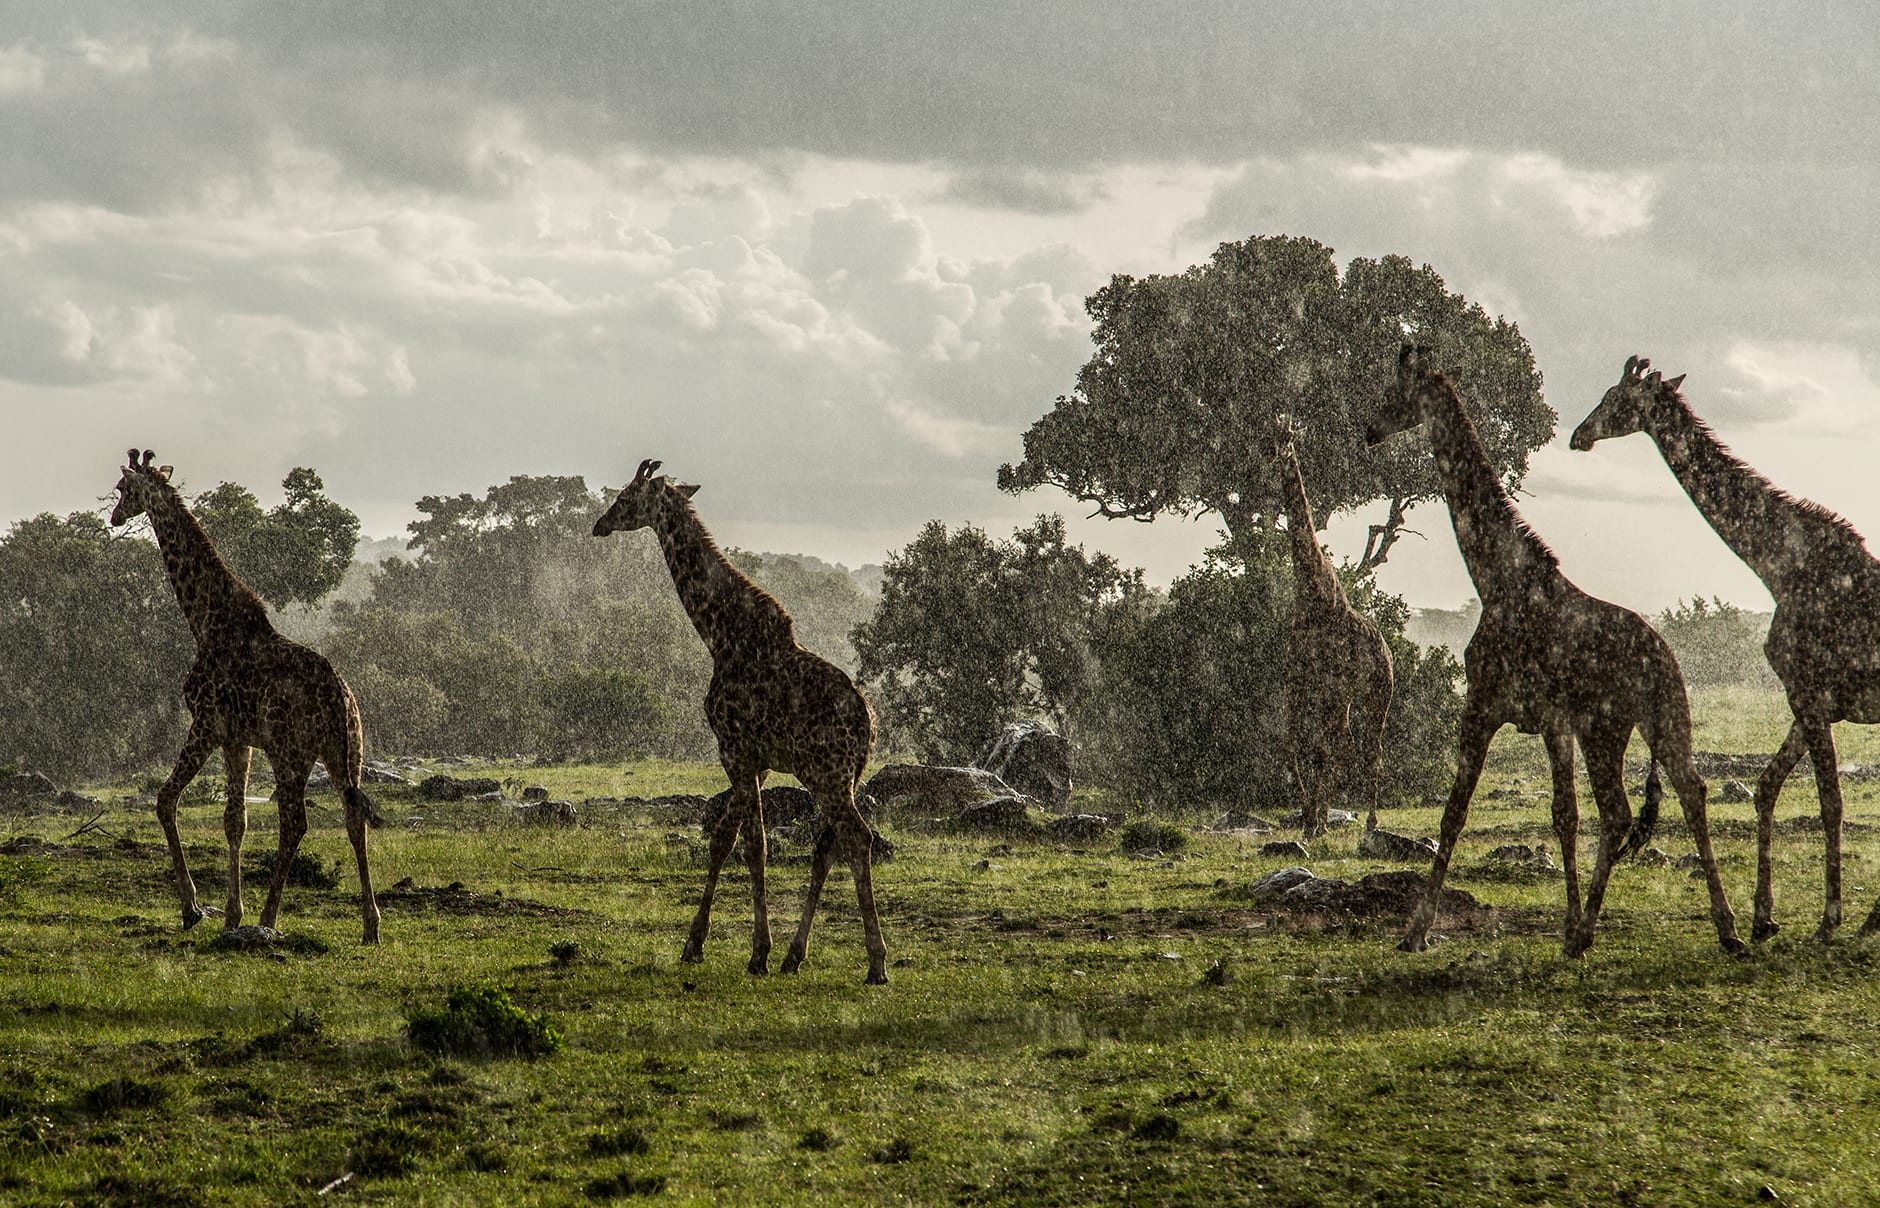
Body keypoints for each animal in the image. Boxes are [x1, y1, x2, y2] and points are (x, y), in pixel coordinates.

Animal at [590, 460, 883, 984]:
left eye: (626, 497)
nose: (599, 524)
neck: (720, 636)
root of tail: (868, 726)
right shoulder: (757, 761)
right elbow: (724, 839)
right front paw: (695, 944)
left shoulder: (734, 748)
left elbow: (753, 846)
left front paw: (757, 952)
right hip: (843, 777)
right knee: (828, 846)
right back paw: (796, 955)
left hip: (827, 774)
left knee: (857, 838)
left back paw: (875, 962)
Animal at [1270, 415, 1391, 841]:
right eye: (1266, 436)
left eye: (1289, 438)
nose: (1273, 453)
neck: (1311, 594)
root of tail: (1389, 650)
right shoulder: (1298, 676)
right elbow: (1289, 745)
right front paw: (1310, 818)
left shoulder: (1328, 682)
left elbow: (1319, 750)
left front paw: (1312, 821)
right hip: (1346, 697)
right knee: (1348, 743)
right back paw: (1326, 816)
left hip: (1377, 693)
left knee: (1371, 749)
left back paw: (1371, 821)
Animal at [1368, 347, 1744, 954]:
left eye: (1395, 392)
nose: (1369, 429)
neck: (1497, 581)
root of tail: (1664, 658)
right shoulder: (1552, 723)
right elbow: (1563, 815)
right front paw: (1565, 917)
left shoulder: (1486, 704)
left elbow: (1455, 813)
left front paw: (1416, 930)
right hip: (1662, 718)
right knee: (1690, 790)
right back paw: (1726, 929)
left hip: (1605, 728)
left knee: (1618, 812)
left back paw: (1589, 933)